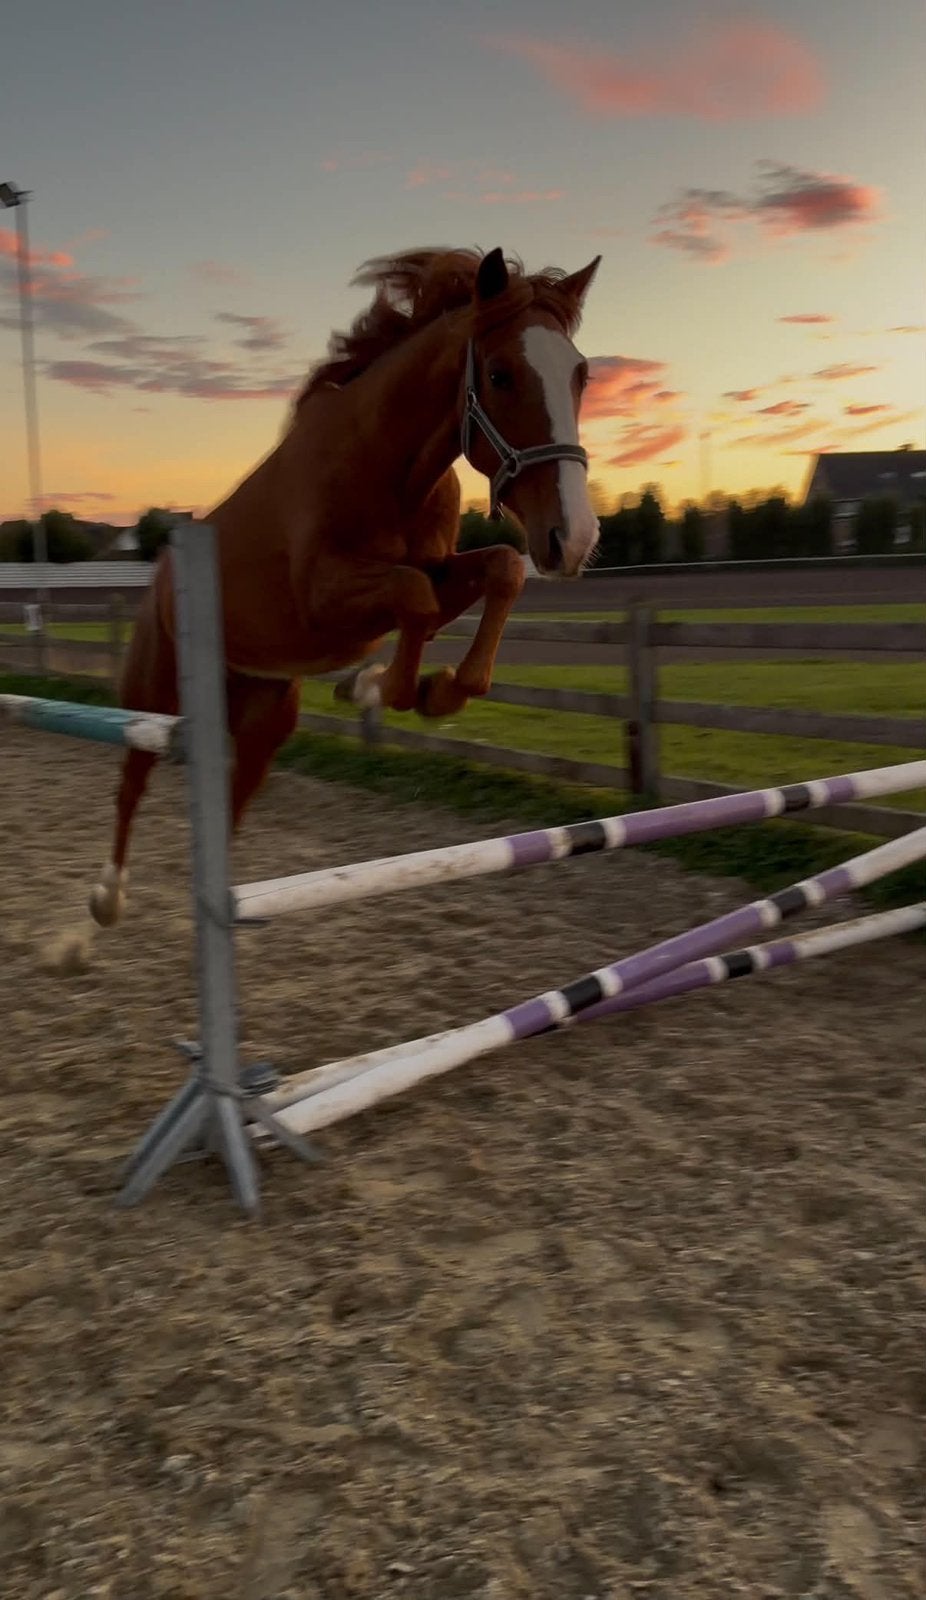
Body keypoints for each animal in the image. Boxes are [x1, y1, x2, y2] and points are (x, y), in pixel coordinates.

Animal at [89, 244, 602, 929]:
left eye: (580, 375)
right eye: (499, 375)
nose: (573, 538)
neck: (385, 465)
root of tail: (164, 570)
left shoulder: (439, 567)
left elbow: (498, 570)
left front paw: (425, 689)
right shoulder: (323, 597)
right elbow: (414, 596)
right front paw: (385, 688)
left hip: (264, 721)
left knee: (229, 801)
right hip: (154, 698)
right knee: (131, 782)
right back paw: (104, 902)